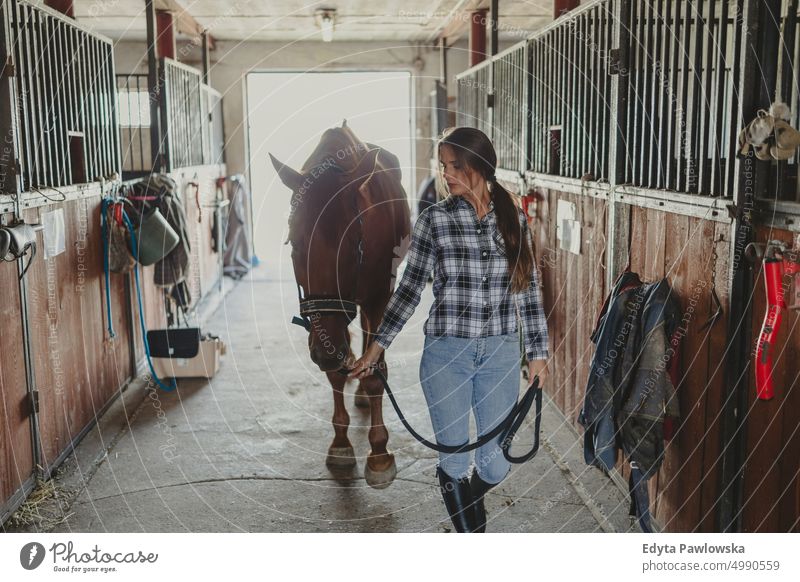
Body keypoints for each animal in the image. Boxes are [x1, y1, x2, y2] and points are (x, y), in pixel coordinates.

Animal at [272, 124, 412, 492]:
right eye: (294, 244)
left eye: (354, 244)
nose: (322, 353)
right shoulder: (328, 326)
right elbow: (336, 369)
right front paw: (340, 444)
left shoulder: (380, 296)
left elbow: (378, 371)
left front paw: (379, 454)